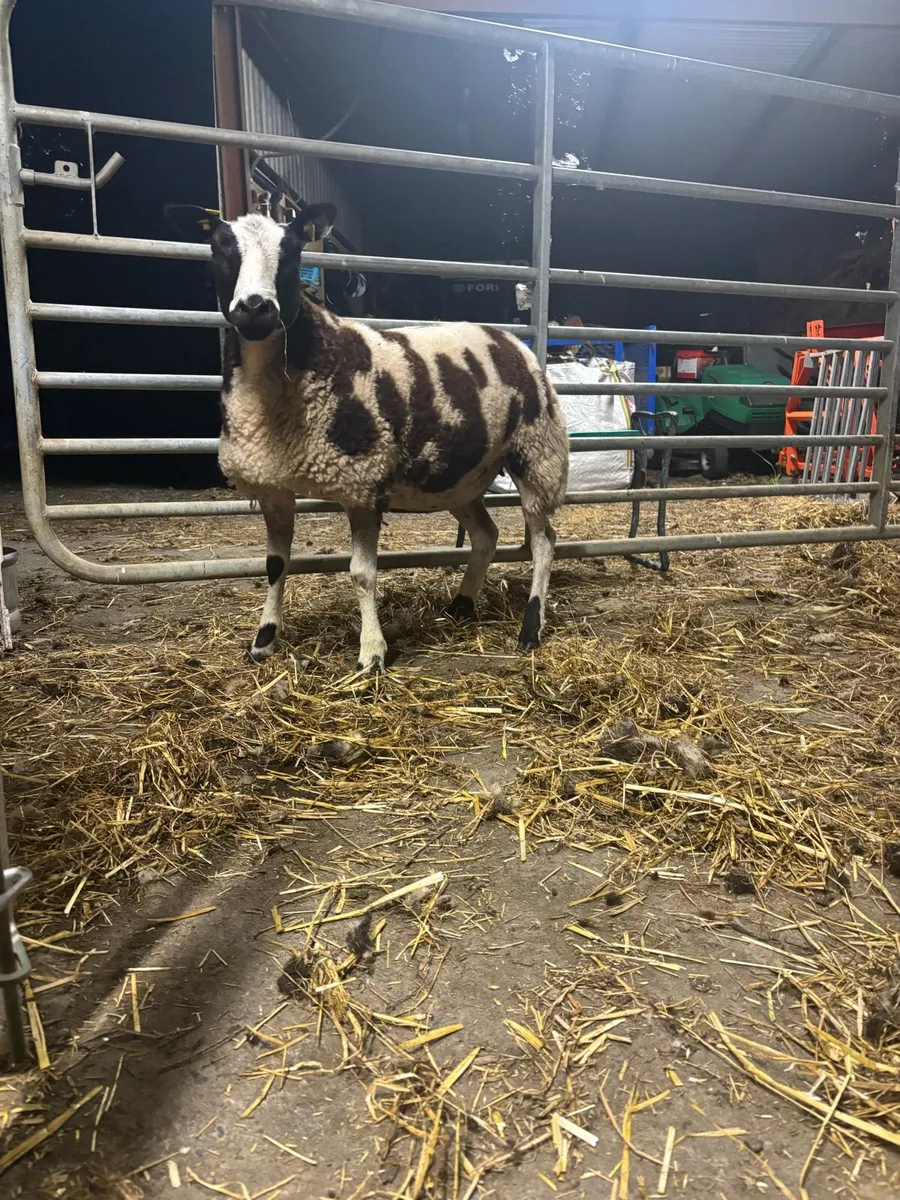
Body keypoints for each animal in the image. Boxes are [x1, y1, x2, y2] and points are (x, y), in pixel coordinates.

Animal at [168, 202, 570, 671]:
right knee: (487, 535)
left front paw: (371, 653)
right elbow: (275, 565)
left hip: (537, 452)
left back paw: (531, 627)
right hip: (461, 477)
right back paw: (461, 605)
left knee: (544, 542)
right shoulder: (272, 486)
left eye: (292, 252)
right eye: (219, 248)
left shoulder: (362, 483)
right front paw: (263, 641)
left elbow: (362, 573)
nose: (255, 308)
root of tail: (507, 339)